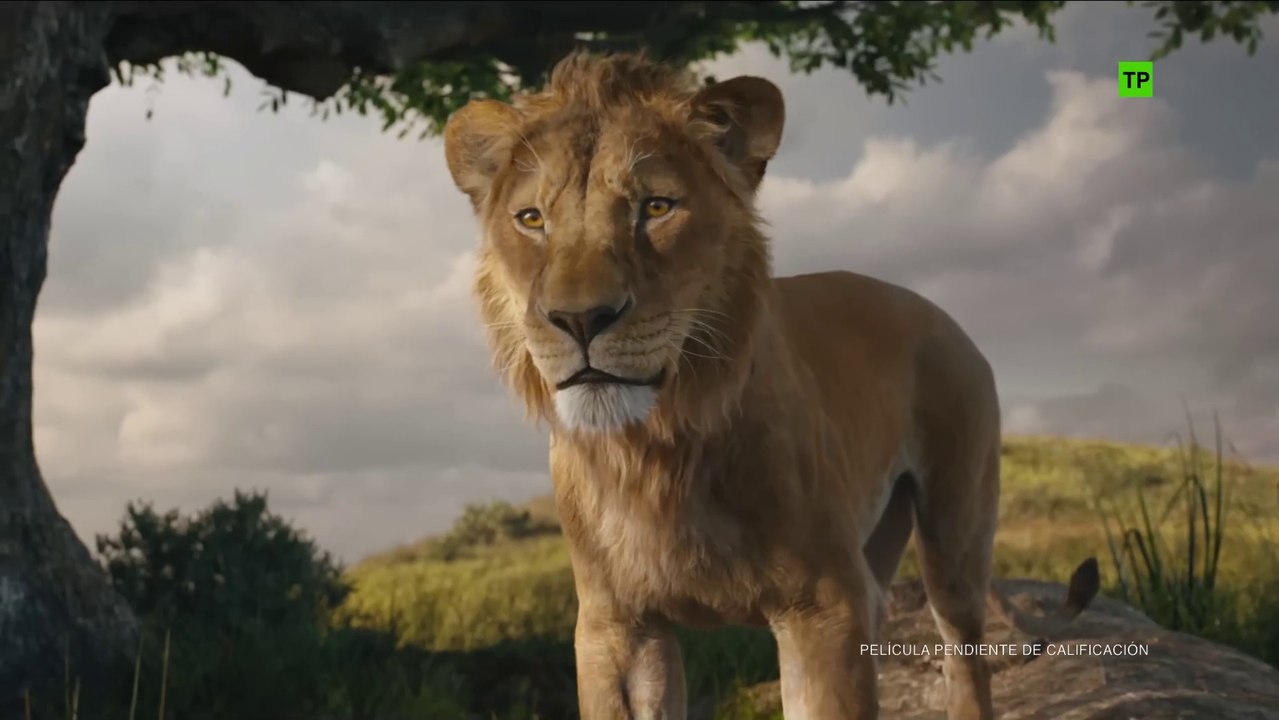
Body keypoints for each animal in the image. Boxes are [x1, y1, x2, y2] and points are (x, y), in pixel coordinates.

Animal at [442, 51, 1100, 720]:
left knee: (964, 652)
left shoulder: (823, 606)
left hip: (955, 530)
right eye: (531, 220)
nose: (579, 320)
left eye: (655, 208)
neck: (653, 449)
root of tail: (939, 313)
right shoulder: (615, 625)